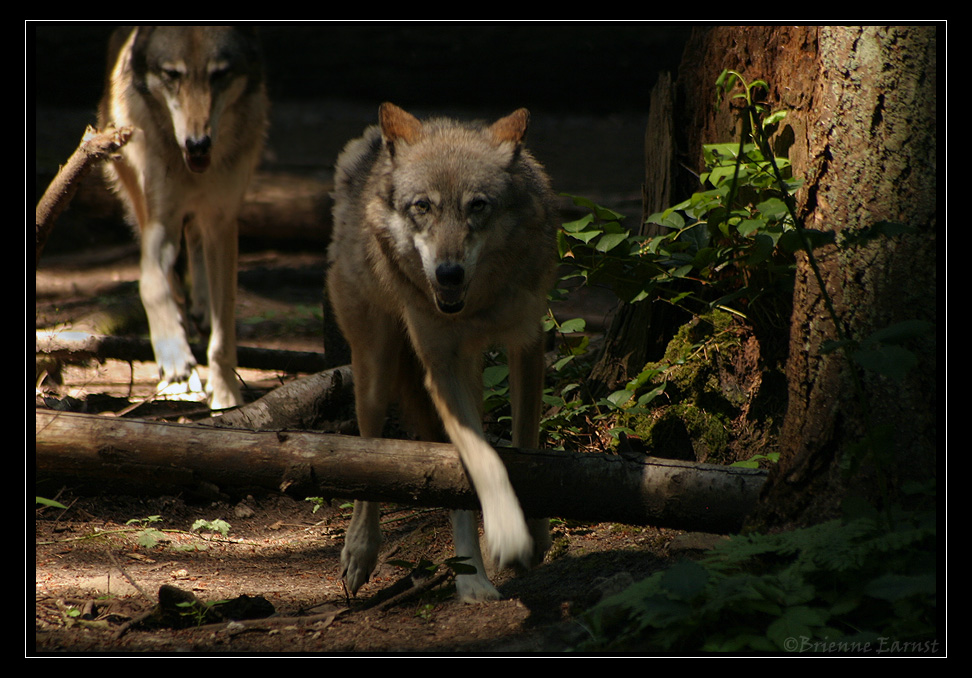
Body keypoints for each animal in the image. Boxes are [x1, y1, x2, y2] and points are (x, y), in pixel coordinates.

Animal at [98, 26, 268, 410]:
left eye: (219, 75)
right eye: (172, 75)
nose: (198, 144)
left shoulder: (222, 221)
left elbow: (223, 334)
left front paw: (227, 395)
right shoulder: (161, 220)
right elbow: (151, 285)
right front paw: (174, 357)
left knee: (196, 244)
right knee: (172, 277)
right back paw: (178, 382)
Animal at [326, 103, 560, 604]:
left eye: (478, 206)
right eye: (423, 206)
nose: (448, 273)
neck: (475, 309)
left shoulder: (527, 344)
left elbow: (526, 444)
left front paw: (535, 533)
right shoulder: (442, 368)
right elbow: (488, 460)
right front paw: (511, 536)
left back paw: (471, 579)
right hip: (375, 371)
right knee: (366, 450)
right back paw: (365, 552)